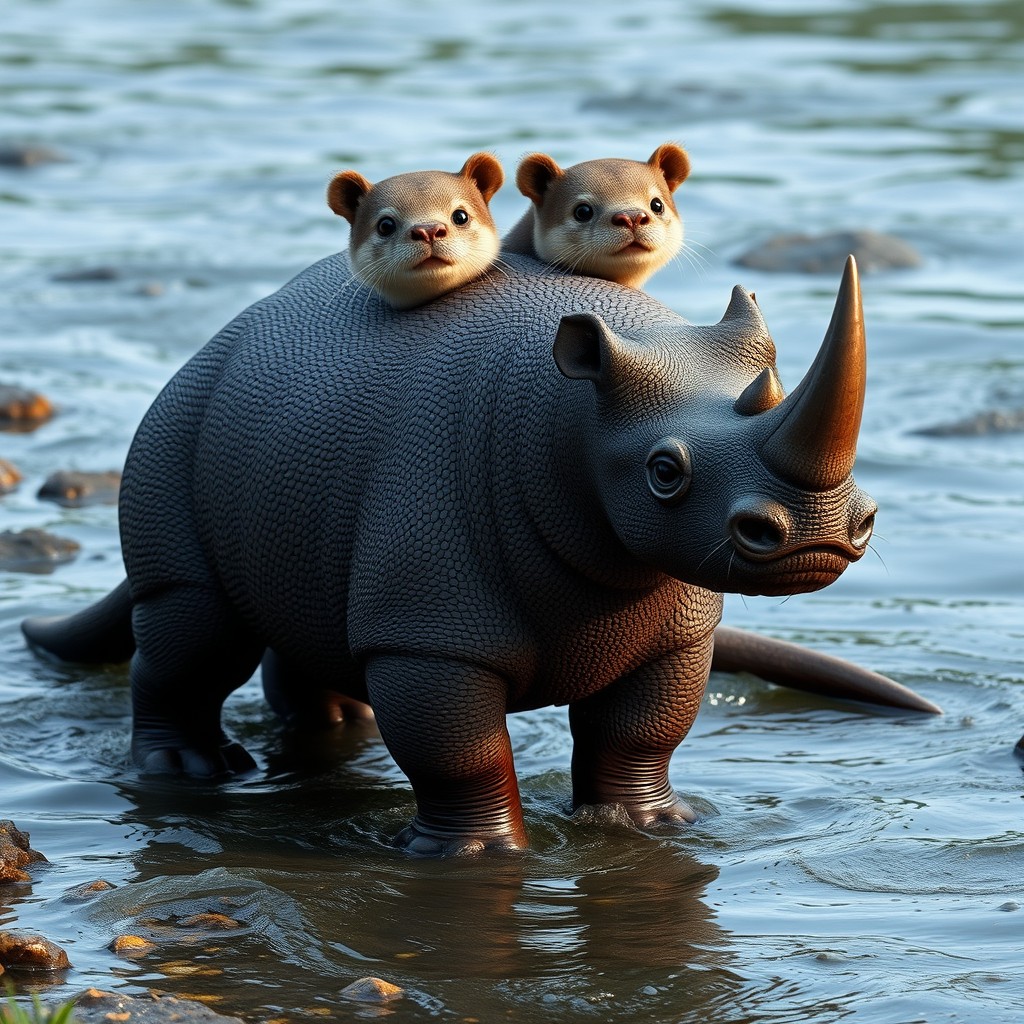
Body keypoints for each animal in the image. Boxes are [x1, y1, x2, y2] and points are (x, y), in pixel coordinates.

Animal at [22, 253, 938, 855]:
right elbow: (459, 747)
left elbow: (644, 730)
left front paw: (650, 826)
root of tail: (221, 339)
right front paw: (482, 856)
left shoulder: (673, 619)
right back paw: (192, 773)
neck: (569, 417)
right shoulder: (432, 629)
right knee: (195, 623)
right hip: (175, 429)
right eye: (664, 472)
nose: (820, 534)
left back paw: (337, 728)